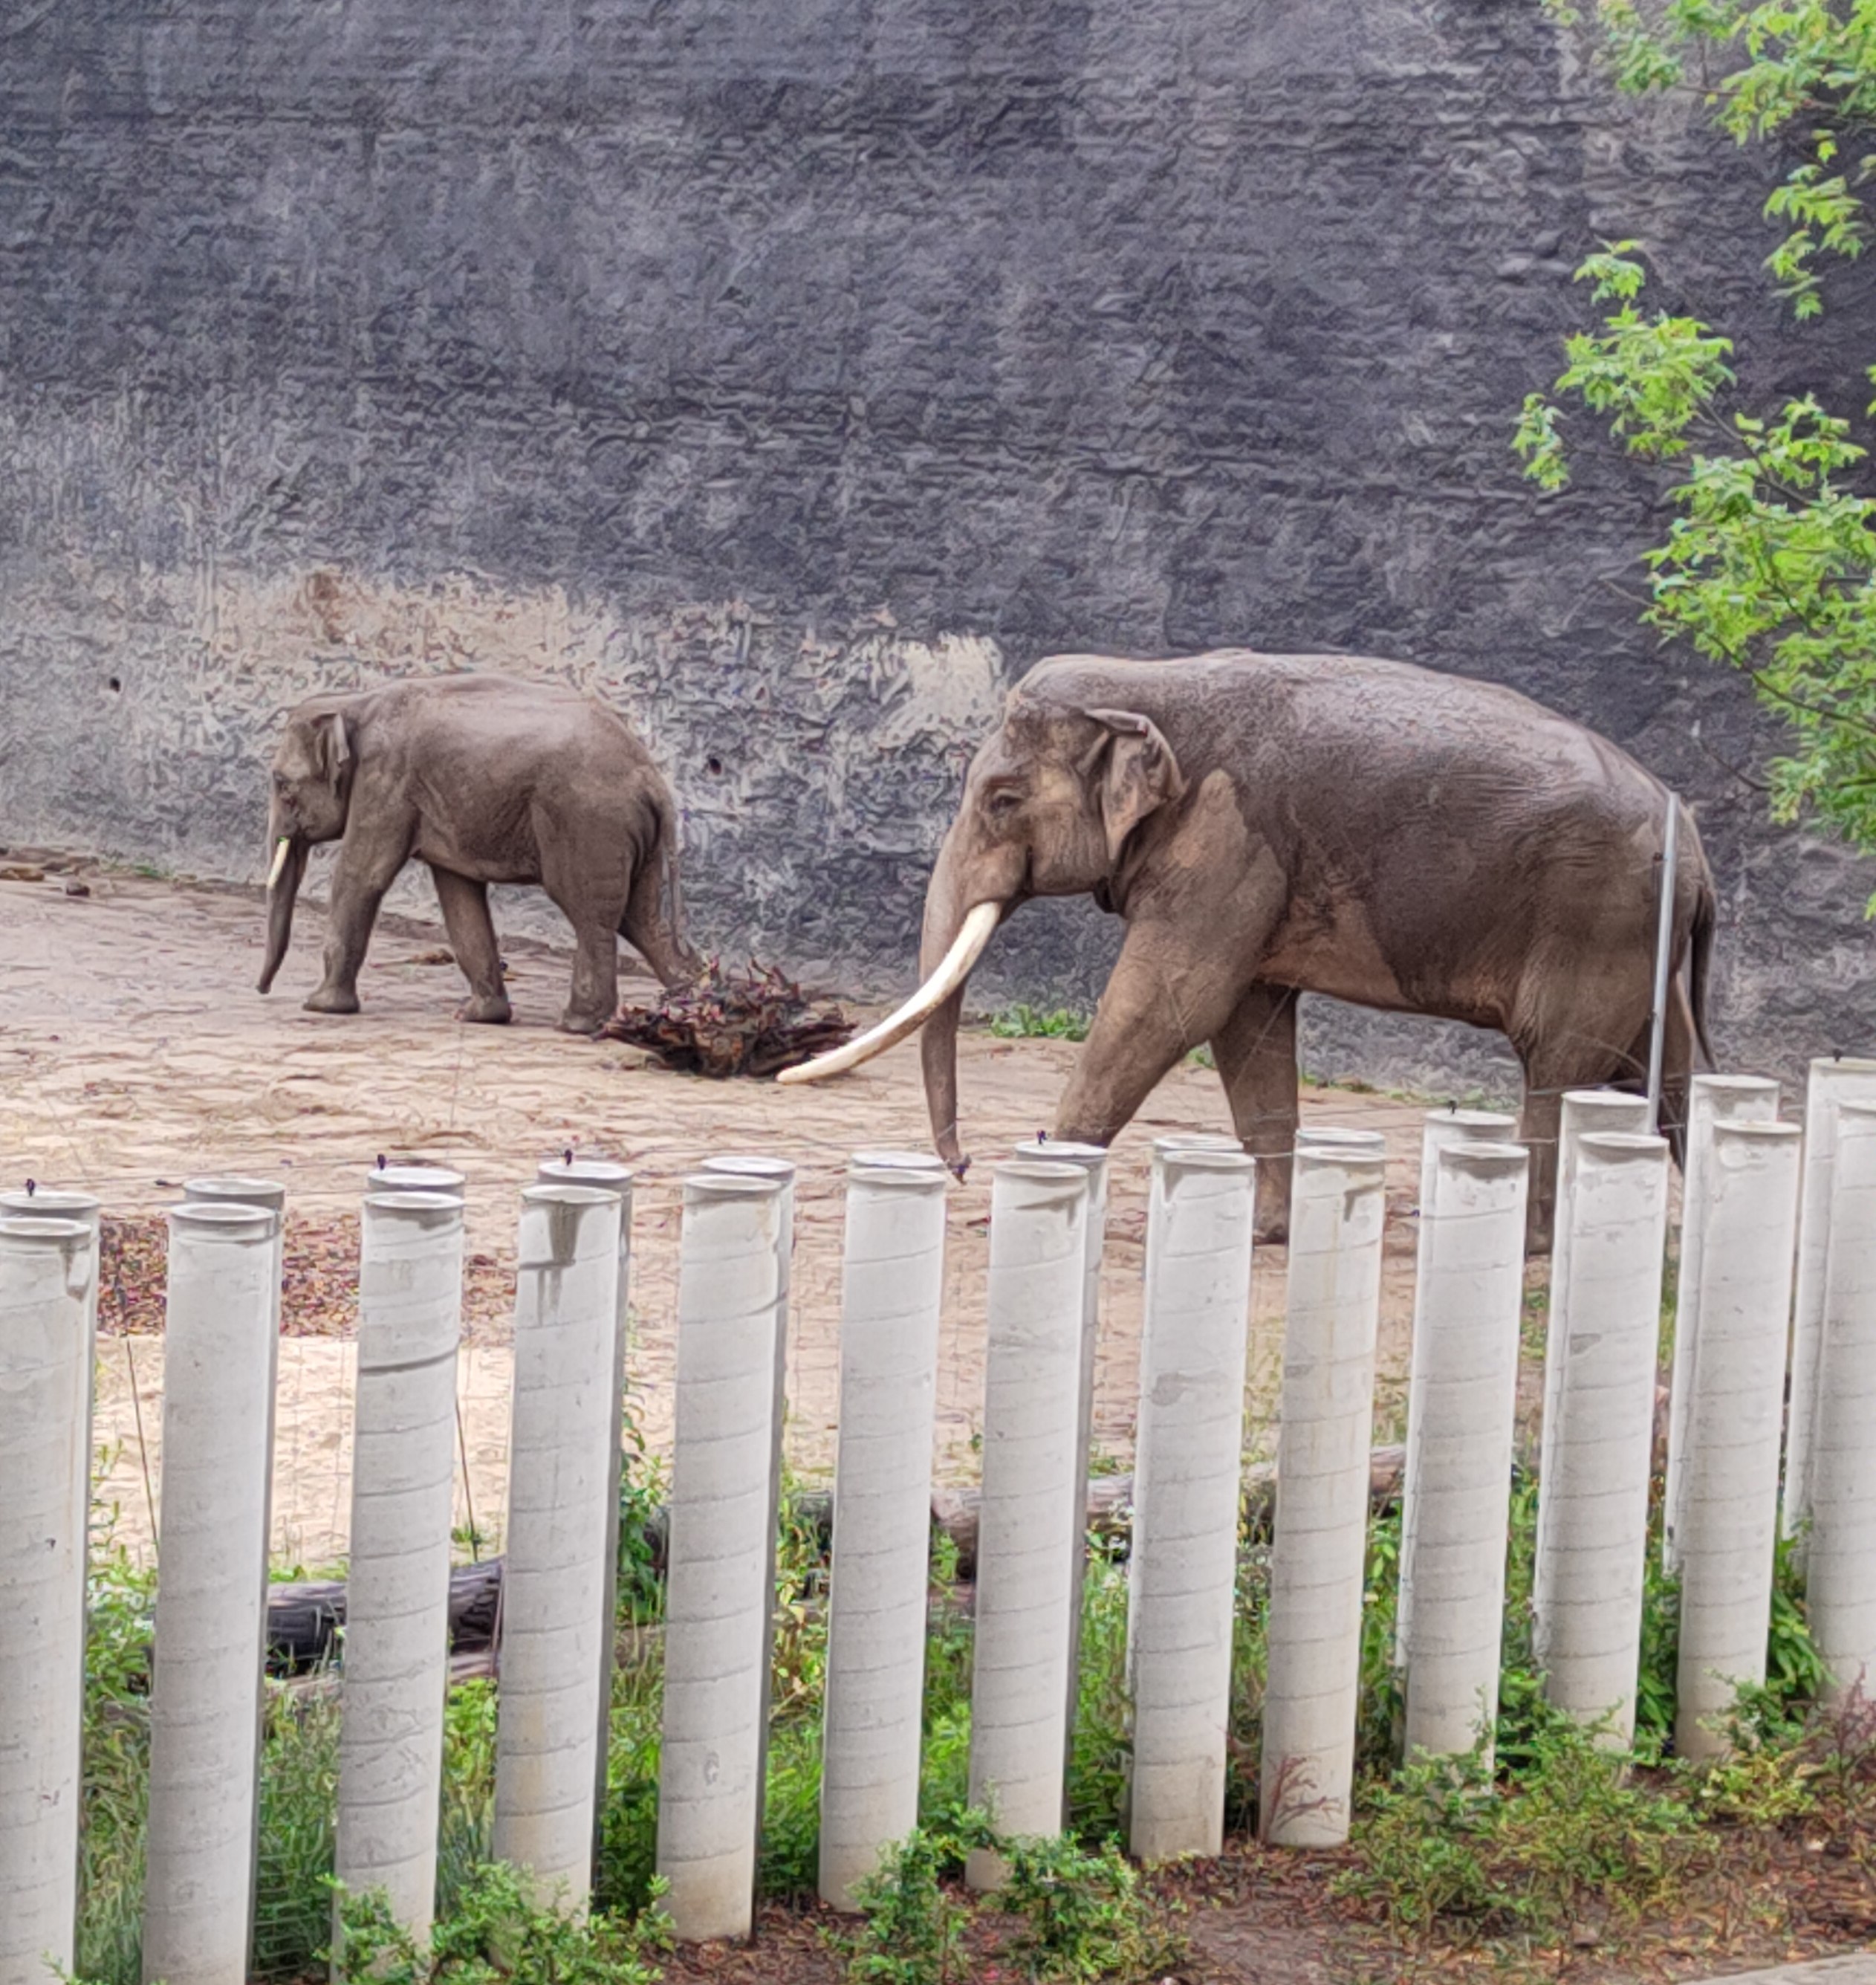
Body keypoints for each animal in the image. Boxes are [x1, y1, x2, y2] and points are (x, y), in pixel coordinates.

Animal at [258, 675, 702, 1032]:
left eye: (282, 785)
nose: (262, 990)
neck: (354, 701)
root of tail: (652, 778)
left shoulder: (385, 783)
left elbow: (361, 876)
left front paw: (320, 1006)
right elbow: (459, 894)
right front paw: (479, 1017)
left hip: (587, 823)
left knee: (590, 915)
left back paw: (577, 1025)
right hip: (628, 836)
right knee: (642, 920)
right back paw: (693, 1007)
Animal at [774, 643, 1715, 1246]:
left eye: (1002, 799)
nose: (965, 1166)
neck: (1147, 682)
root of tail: (1697, 849)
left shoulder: (1227, 834)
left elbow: (1169, 1003)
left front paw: (1047, 1180)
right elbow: (1245, 1026)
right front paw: (1267, 1233)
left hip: (1595, 916)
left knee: (1560, 1068)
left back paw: (1525, 1245)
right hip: (1638, 937)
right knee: (1664, 1072)